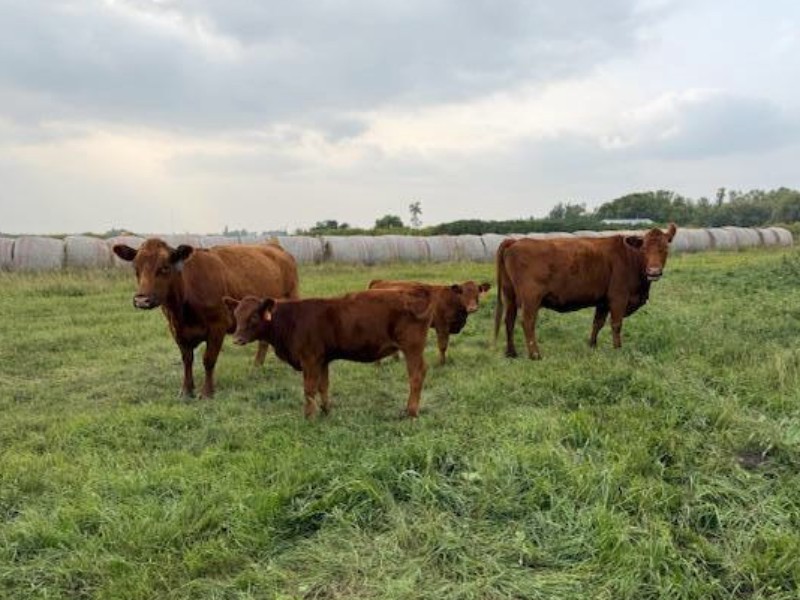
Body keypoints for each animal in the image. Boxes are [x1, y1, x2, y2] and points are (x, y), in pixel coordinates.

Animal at [113, 239, 299, 398]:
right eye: (135, 268)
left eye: (164, 267)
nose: (141, 300)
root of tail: (274, 246)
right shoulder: (176, 329)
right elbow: (187, 360)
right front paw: (186, 391)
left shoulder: (218, 326)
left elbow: (208, 359)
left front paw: (207, 392)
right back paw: (256, 367)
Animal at [223, 287, 434, 419]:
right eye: (236, 315)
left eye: (253, 316)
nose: (237, 339)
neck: (291, 320)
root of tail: (413, 294)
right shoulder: (322, 360)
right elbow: (323, 386)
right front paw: (326, 411)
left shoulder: (309, 359)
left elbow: (309, 389)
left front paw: (309, 416)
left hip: (412, 348)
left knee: (416, 375)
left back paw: (411, 411)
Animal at [494, 225, 677, 358]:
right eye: (643, 249)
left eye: (665, 249)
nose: (654, 271)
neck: (630, 258)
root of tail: (515, 241)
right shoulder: (618, 297)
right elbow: (616, 324)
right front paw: (618, 349)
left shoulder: (603, 300)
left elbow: (597, 323)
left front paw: (592, 346)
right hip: (531, 297)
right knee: (527, 322)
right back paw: (535, 355)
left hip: (510, 295)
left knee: (509, 321)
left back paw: (511, 353)